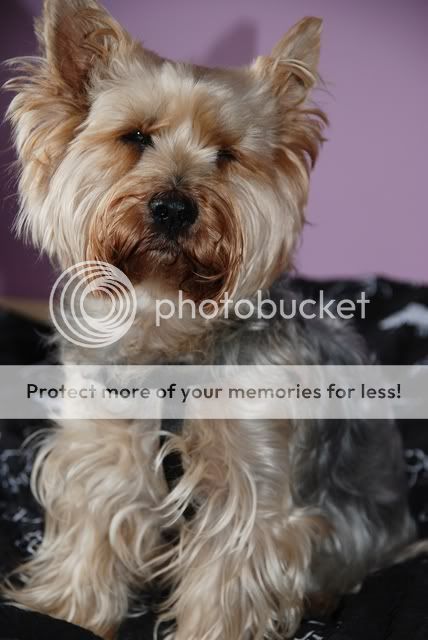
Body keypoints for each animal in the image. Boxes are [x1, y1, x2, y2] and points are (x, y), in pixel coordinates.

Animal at [2, 1, 416, 638]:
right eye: (136, 137)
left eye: (226, 155)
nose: (174, 207)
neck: (168, 314)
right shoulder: (103, 444)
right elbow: (91, 526)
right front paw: (66, 612)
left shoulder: (251, 478)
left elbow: (227, 574)